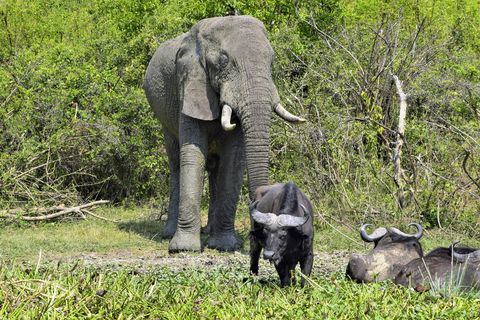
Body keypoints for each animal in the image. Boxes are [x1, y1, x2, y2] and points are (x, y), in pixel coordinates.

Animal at [144, 15, 306, 252]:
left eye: (272, 61)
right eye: (223, 61)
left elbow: (233, 161)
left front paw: (225, 245)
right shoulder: (189, 84)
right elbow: (193, 155)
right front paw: (184, 248)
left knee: (215, 168)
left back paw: (210, 232)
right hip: (164, 117)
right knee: (175, 163)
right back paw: (169, 234)